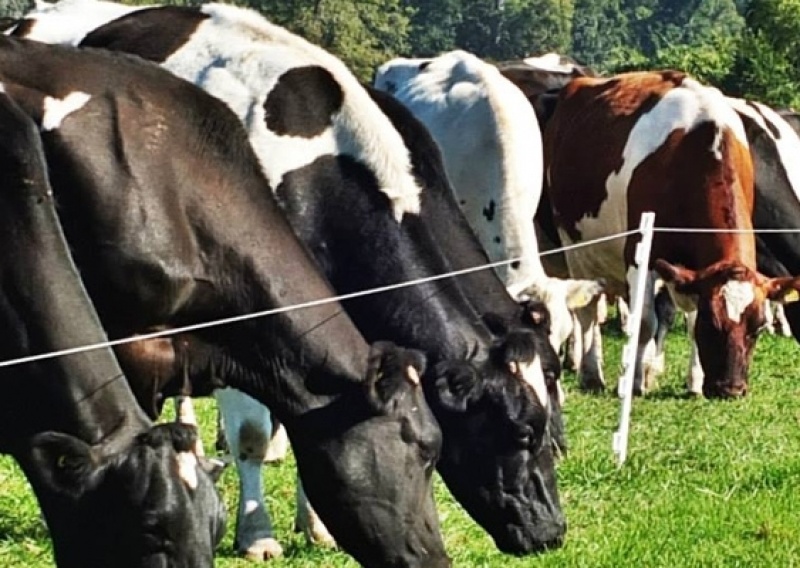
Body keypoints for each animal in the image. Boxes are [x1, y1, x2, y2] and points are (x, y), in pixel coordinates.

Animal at [544, 71, 800, 398]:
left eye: (756, 327)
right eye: (712, 325)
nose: (731, 389)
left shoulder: (693, 271)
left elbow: (684, 321)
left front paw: (695, 381)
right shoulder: (639, 253)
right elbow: (644, 323)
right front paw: (634, 383)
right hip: (574, 244)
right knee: (588, 310)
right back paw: (591, 373)